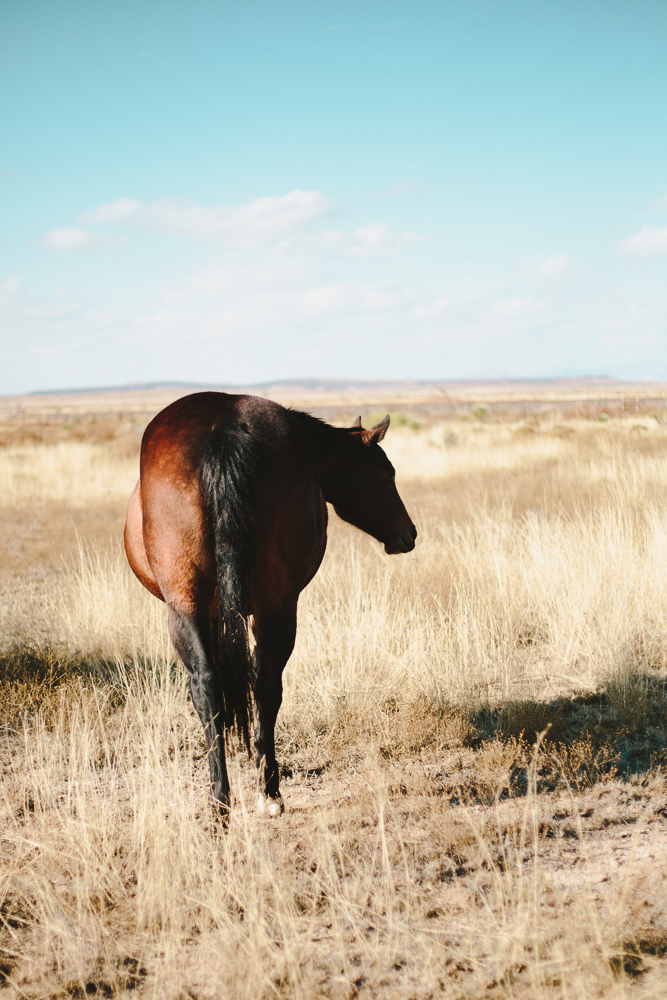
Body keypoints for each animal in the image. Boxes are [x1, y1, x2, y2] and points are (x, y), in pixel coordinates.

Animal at [124, 391, 416, 816]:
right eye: (387, 472)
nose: (408, 534)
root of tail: (223, 429)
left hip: (195, 607)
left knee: (219, 686)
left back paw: (231, 798)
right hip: (268, 607)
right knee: (257, 684)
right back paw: (261, 792)